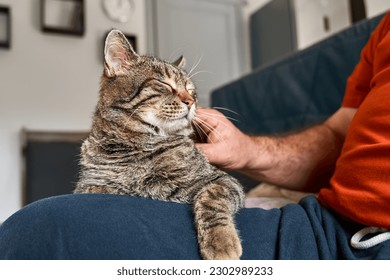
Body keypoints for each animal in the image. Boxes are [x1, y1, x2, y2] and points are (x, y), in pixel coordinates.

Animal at [74, 29, 244, 260]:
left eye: (191, 90)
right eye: (164, 84)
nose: (191, 101)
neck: (135, 148)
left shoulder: (222, 180)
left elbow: (211, 198)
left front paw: (221, 241)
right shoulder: (87, 185)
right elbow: (99, 189)